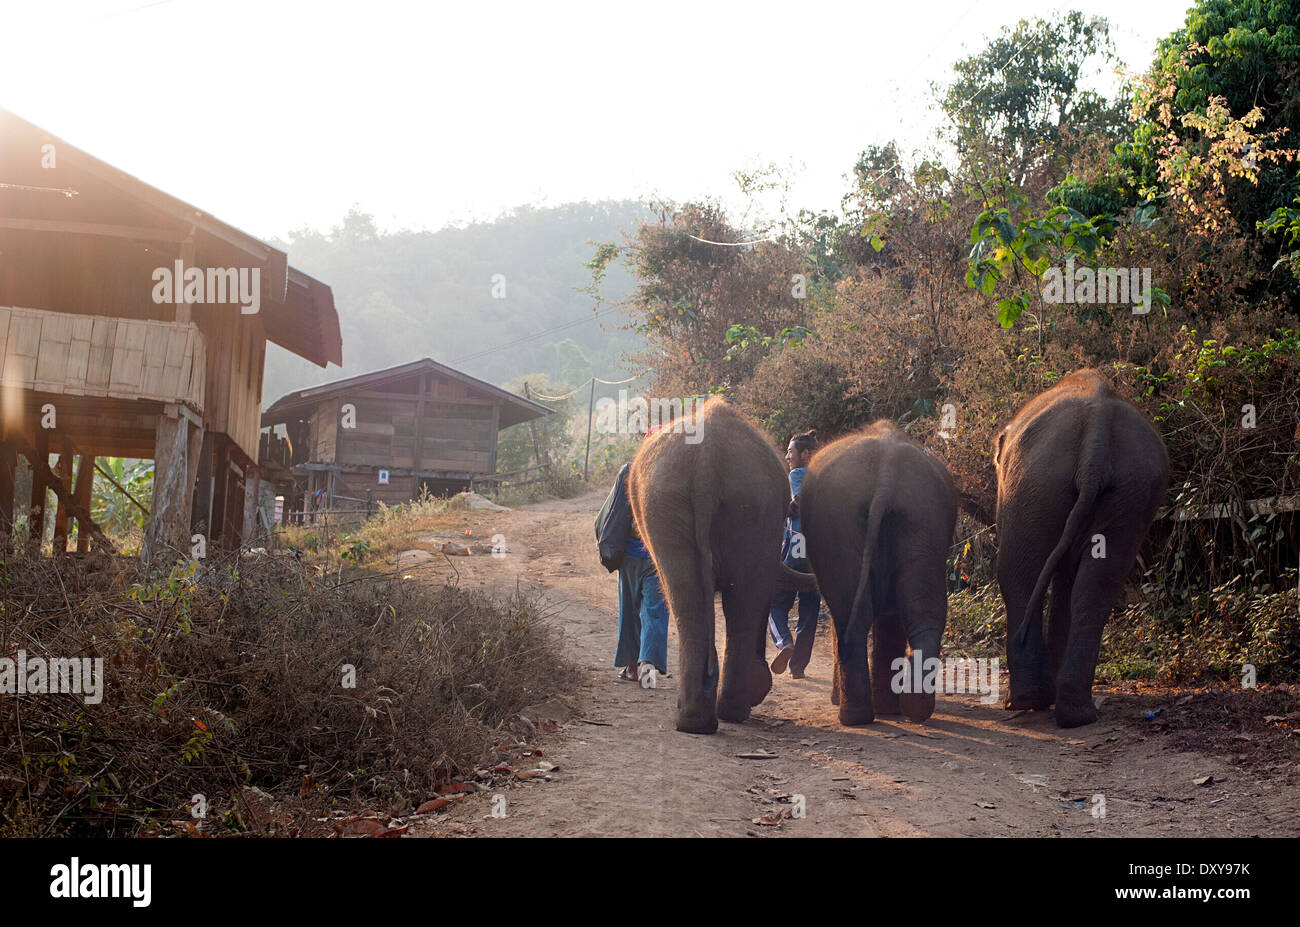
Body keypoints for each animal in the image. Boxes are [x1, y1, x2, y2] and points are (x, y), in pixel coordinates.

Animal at [626, 397, 811, 738]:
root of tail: (706, 460)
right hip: (727, 504)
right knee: (727, 601)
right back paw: (714, 717)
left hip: (720, 505)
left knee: (703, 599)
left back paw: (704, 719)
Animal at [795, 418, 961, 722]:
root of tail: (888, 470)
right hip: (924, 518)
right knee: (924, 615)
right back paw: (913, 708)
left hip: (843, 523)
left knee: (850, 614)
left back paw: (855, 715)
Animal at [993, 364, 1170, 728]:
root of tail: (1097, 436)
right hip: (1128, 488)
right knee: (1096, 587)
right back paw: (1076, 714)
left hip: (1034, 482)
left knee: (1017, 575)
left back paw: (1027, 701)